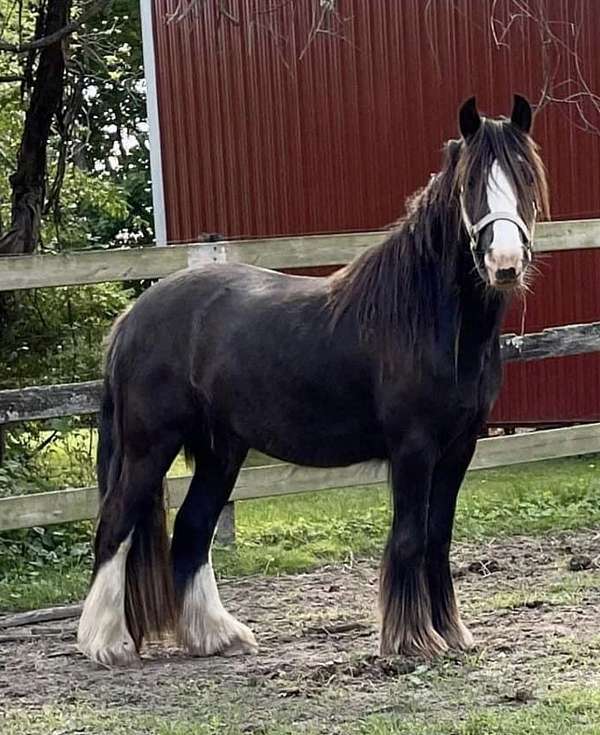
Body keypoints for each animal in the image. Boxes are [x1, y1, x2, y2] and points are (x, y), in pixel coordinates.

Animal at [78, 96, 548, 668]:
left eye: (525, 176)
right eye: (471, 182)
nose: (505, 263)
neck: (429, 318)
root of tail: (132, 318)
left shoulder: (460, 448)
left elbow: (439, 537)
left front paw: (451, 632)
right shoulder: (413, 448)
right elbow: (410, 537)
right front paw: (412, 640)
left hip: (221, 451)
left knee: (191, 531)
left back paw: (217, 635)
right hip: (150, 446)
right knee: (115, 526)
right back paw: (108, 643)